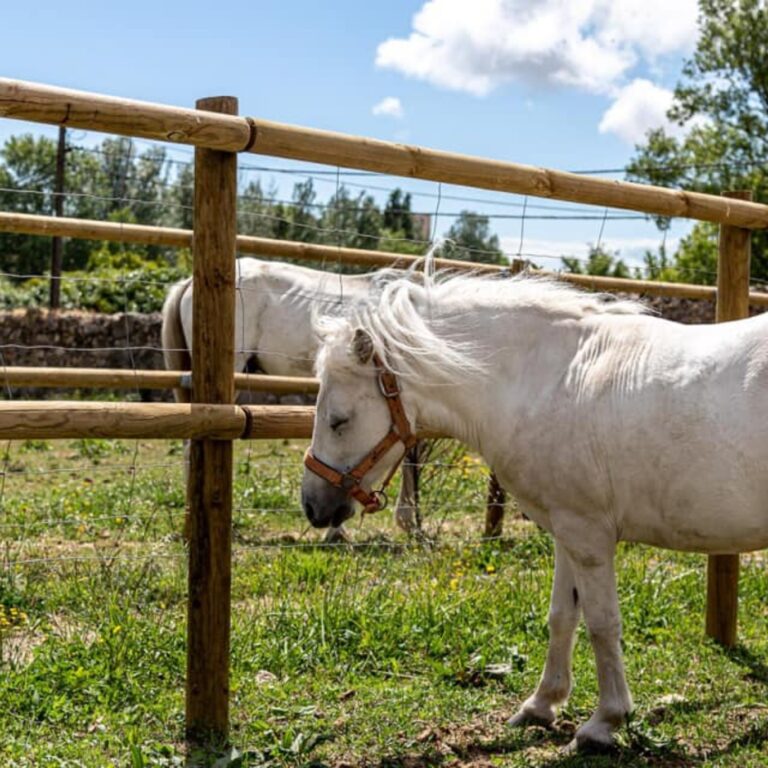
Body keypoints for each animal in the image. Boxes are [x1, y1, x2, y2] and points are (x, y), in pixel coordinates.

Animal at [298, 272, 768, 752]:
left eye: (338, 420)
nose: (313, 506)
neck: (552, 380)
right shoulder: (566, 532)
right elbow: (562, 617)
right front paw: (542, 705)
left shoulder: (588, 536)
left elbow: (602, 625)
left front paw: (604, 722)